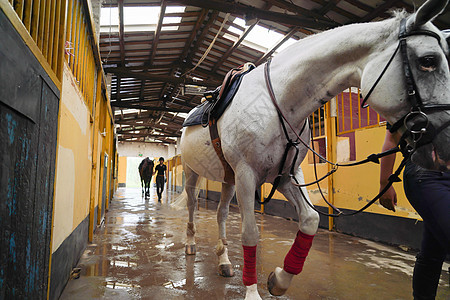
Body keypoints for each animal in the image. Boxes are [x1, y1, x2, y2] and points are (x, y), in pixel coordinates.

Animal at [178, 0, 448, 298]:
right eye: (428, 60)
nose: (445, 145)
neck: (278, 102)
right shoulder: (247, 175)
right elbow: (250, 233)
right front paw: (252, 291)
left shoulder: (286, 176)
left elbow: (310, 219)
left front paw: (279, 279)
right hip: (193, 174)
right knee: (192, 206)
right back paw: (190, 245)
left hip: (228, 179)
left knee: (221, 214)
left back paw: (224, 261)